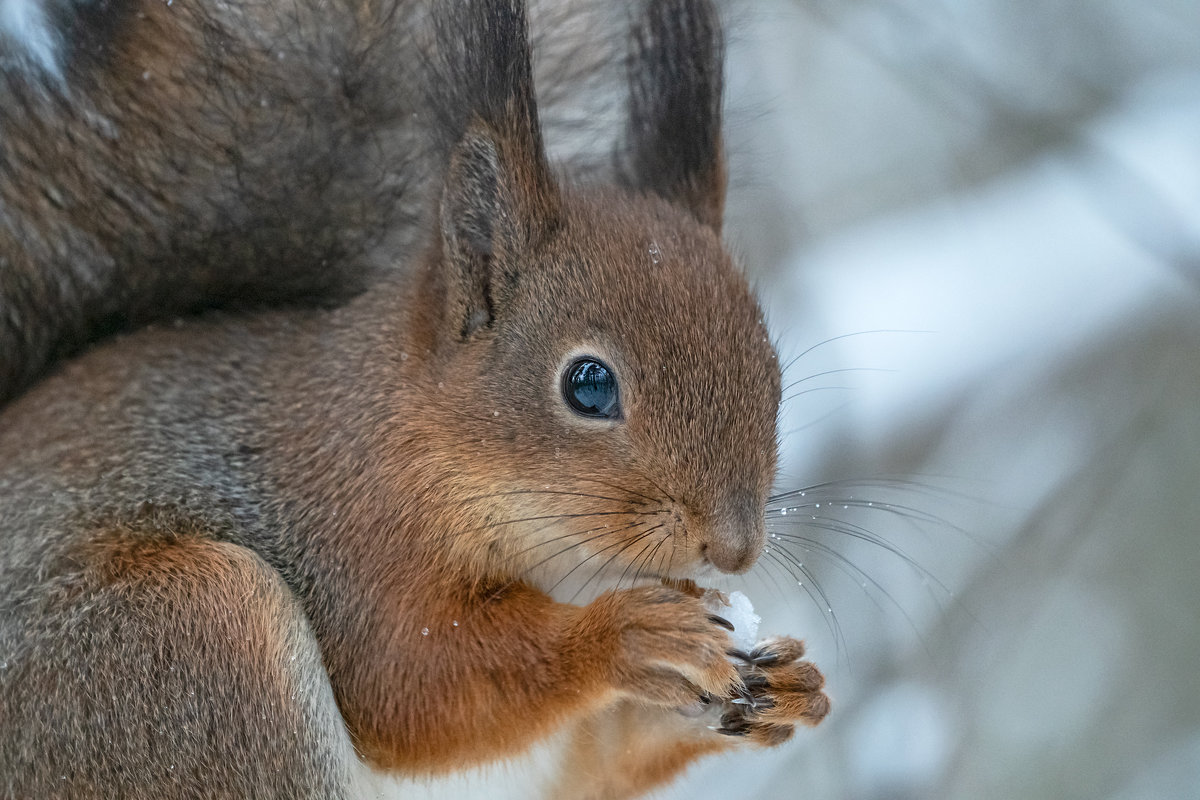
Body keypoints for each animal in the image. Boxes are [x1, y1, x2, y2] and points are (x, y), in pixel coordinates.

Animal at [0, 0, 825, 796]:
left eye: (771, 367)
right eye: (589, 385)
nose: (734, 547)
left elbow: (597, 765)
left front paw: (784, 688)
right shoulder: (354, 540)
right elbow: (412, 687)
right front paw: (626, 638)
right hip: (180, 648)